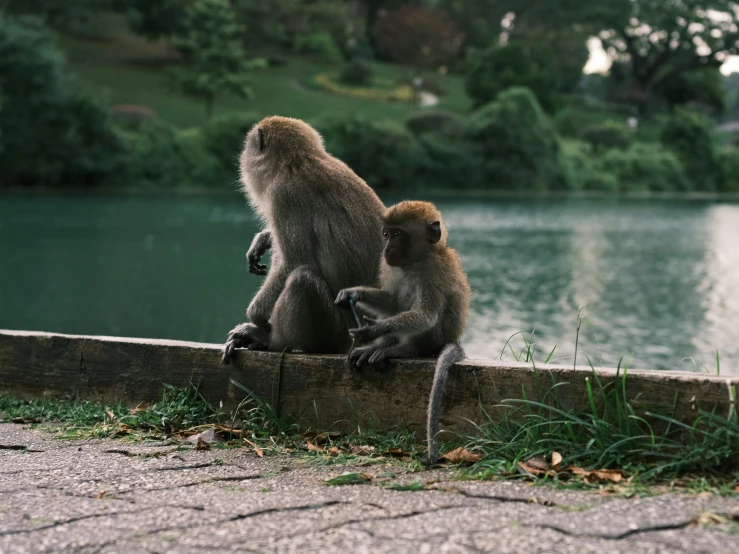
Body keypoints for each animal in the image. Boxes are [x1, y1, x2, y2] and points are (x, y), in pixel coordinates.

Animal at [221, 115, 384, 362]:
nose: (243, 158)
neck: (298, 161)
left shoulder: (284, 196)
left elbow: (293, 262)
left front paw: (256, 316)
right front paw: (265, 238)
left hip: (337, 332)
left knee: (302, 278)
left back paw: (271, 340)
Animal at [334, 199, 468, 462]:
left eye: (398, 235)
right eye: (386, 234)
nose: (386, 249)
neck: (417, 259)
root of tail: (452, 338)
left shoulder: (431, 271)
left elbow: (425, 316)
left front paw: (372, 331)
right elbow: (392, 302)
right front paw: (353, 293)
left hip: (433, 339)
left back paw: (402, 349)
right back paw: (381, 345)